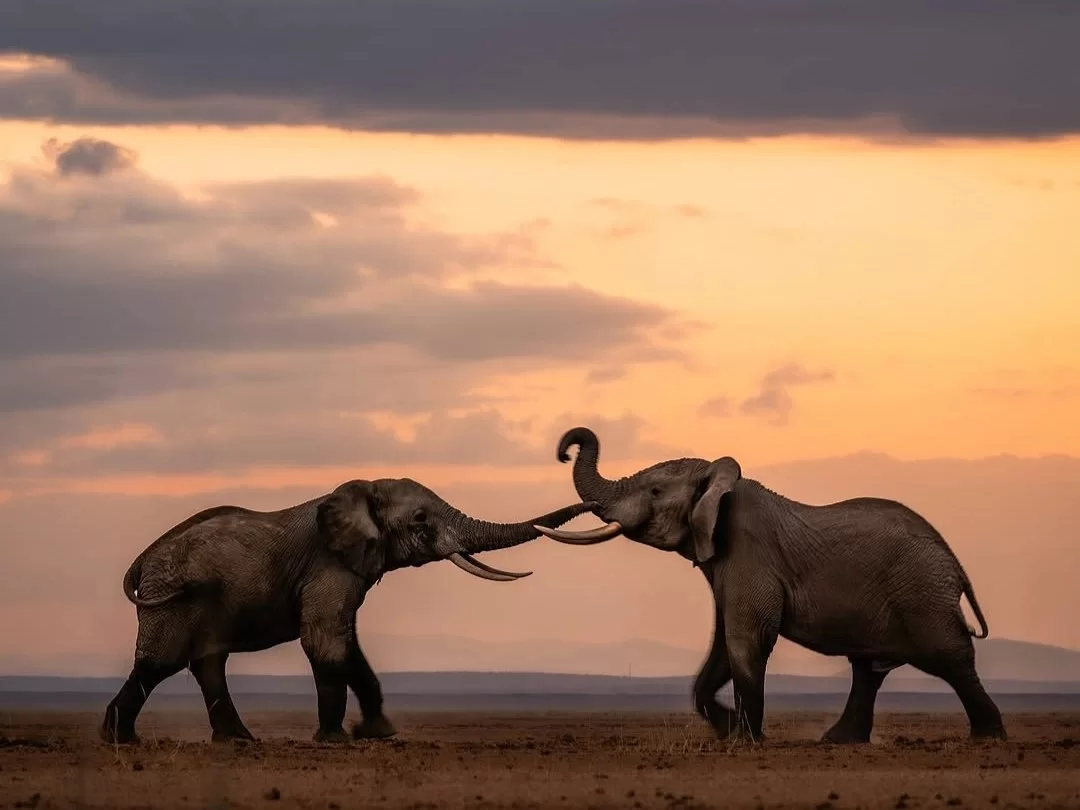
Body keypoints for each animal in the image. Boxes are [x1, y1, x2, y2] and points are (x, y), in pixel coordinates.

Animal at [102, 477, 595, 745]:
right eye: (420, 520)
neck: (361, 492)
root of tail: (144, 559)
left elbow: (349, 644)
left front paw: (379, 732)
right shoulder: (328, 564)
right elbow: (326, 639)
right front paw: (336, 739)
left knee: (207, 662)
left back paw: (234, 741)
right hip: (172, 598)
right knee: (159, 662)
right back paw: (121, 739)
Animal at [534, 426, 1006, 744]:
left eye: (654, 491)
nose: (564, 450)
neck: (719, 482)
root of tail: (955, 563)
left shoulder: (750, 554)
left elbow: (747, 638)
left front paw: (747, 740)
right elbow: (723, 642)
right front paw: (731, 732)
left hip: (922, 591)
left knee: (949, 657)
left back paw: (988, 737)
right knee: (868, 668)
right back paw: (837, 741)